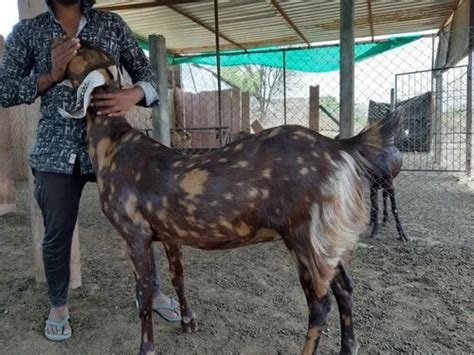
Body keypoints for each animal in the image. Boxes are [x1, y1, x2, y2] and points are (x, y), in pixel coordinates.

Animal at [64, 41, 400, 355]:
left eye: (76, 50)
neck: (113, 147)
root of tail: (340, 147)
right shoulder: (170, 234)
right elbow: (178, 276)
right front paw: (188, 322)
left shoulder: (134, 233)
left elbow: (143, 295)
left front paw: (146, 347)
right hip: (327, 239)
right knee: (345, 288)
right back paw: (349, 347)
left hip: (304, 236)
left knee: (320, 304)